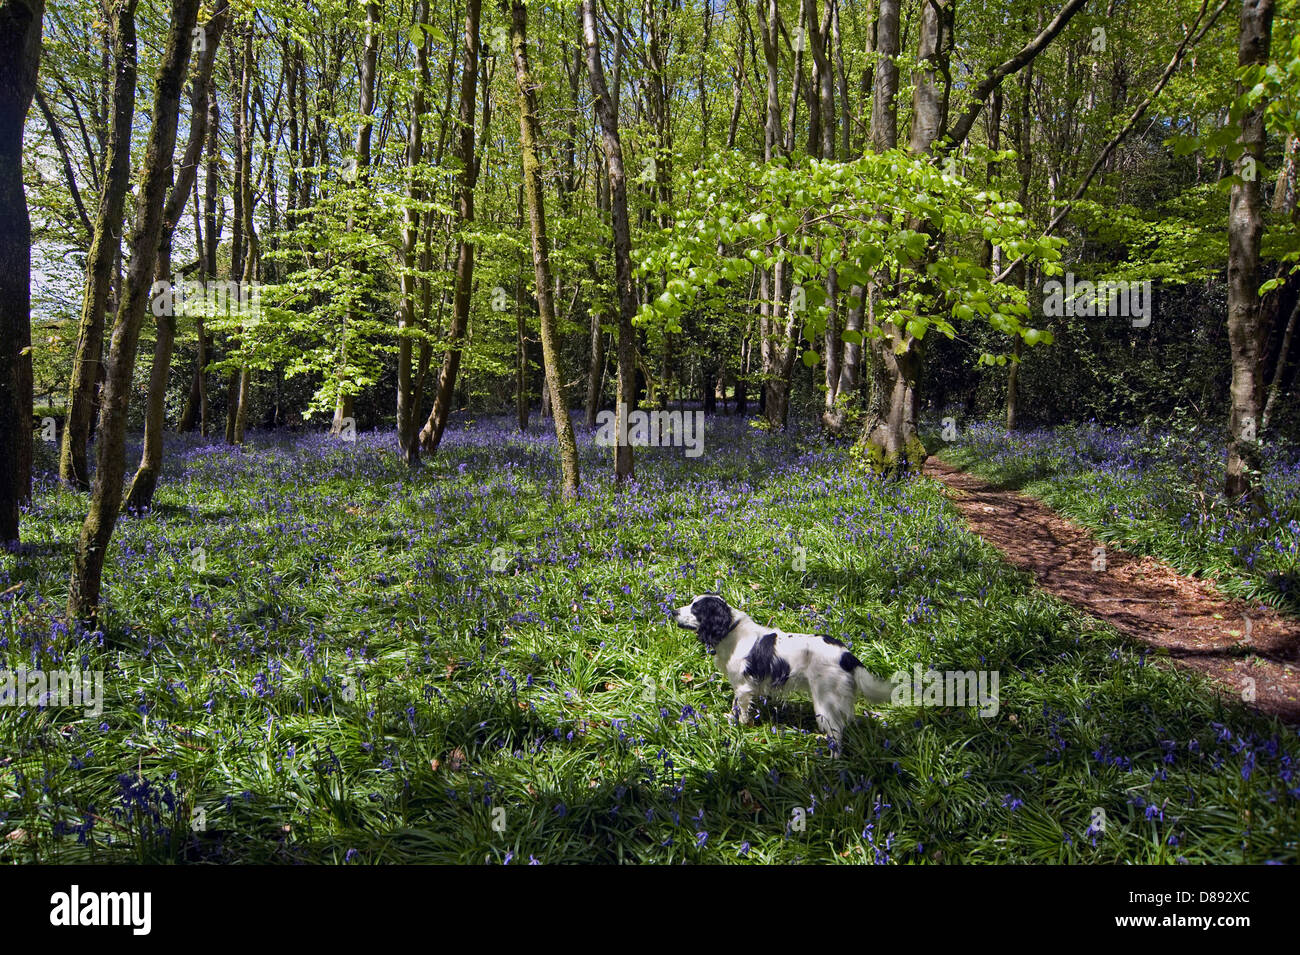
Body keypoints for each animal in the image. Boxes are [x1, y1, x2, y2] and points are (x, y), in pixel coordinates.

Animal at [670, 589, 894, 753]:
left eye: (696, 609)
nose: (672, 611)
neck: (730, 630)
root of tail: (846, 655)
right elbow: (736, 706)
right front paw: (731, 718)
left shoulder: (743, 687)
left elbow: (742, 710)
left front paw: (740, 728)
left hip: (824, 703)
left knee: (837, 735)